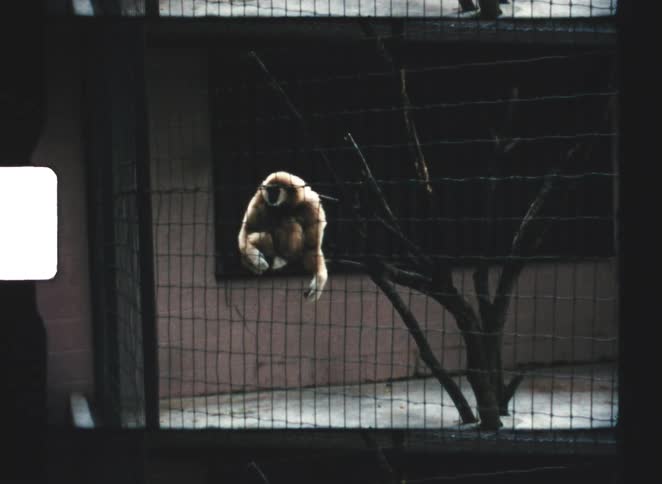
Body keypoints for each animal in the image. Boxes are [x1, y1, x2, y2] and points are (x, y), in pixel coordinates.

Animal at [238, 171, 328, 302]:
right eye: (269, 190)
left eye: (275, 190)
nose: (270, 195)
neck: (286, 205)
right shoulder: (259, 197)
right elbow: (247, 230)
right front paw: (256, 259)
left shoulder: (312, 204)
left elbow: (311, 246)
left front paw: (319, 279)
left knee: (288, 220)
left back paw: (283, 259)